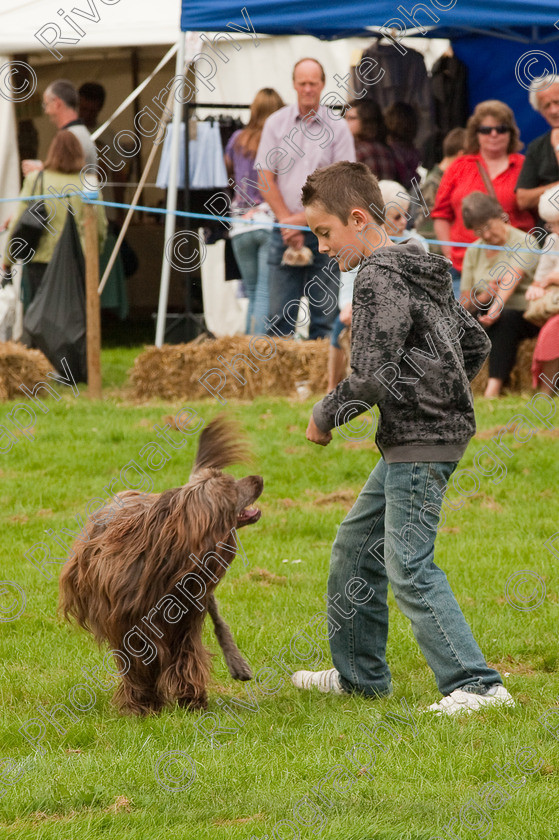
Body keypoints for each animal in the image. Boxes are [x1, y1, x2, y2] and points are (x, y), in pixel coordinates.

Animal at [58, 416, 264, 716]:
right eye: (229, 486)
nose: (259, 479)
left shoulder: (186, 619)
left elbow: (187, 656)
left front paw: (192, 699)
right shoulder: (128, 624)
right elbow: (139, 662)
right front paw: (143, 704)